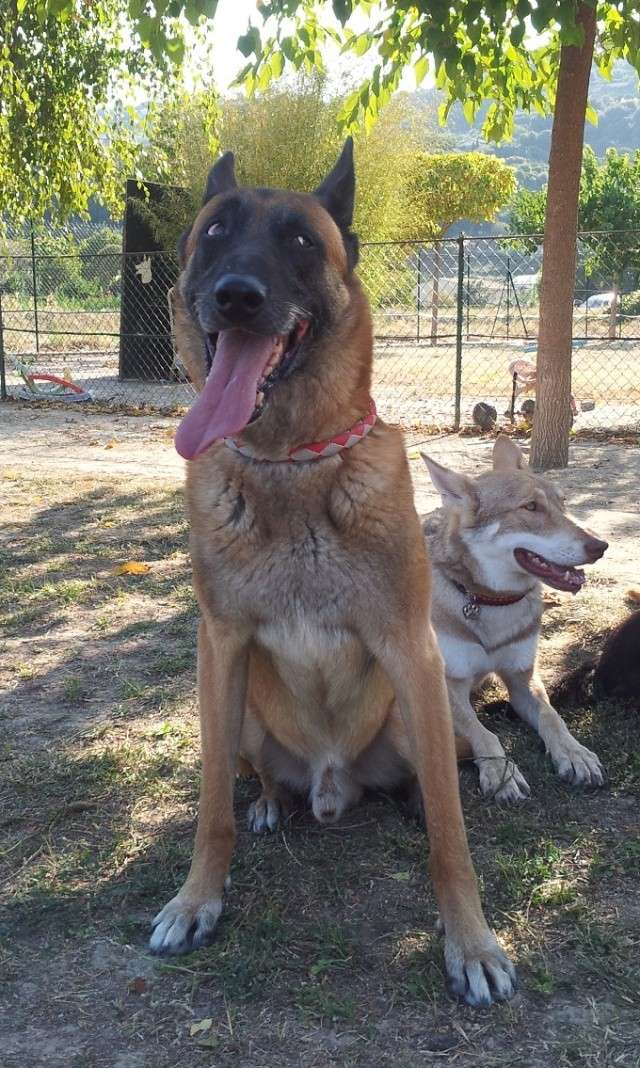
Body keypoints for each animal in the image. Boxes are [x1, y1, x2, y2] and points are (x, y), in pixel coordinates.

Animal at [150, 144, 514, 1008]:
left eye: (300, 241)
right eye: (215, 233)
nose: (236, 296)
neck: (291, 463)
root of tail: (331, 783)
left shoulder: (411, 650)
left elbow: (451, 832)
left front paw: (471, 941)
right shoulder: (221, 648)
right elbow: (210, 806)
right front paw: (196, 898)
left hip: (420, 713)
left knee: (434, 781)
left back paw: (408, 800)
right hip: (244, 711)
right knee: (252, 777)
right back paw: (272, 804)